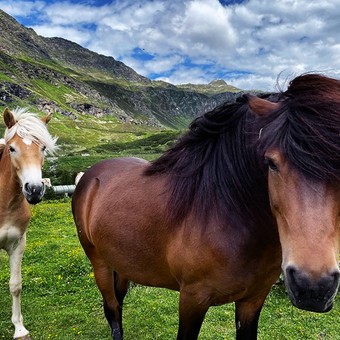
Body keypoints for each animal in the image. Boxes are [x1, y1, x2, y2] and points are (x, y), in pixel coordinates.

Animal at [71, 73, 340, 338]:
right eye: (271, 163)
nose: (314, 286)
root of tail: (89, 175)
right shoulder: (192, 299)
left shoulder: (253, 300)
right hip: (100, 263)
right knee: (112, 309)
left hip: (123, 263)